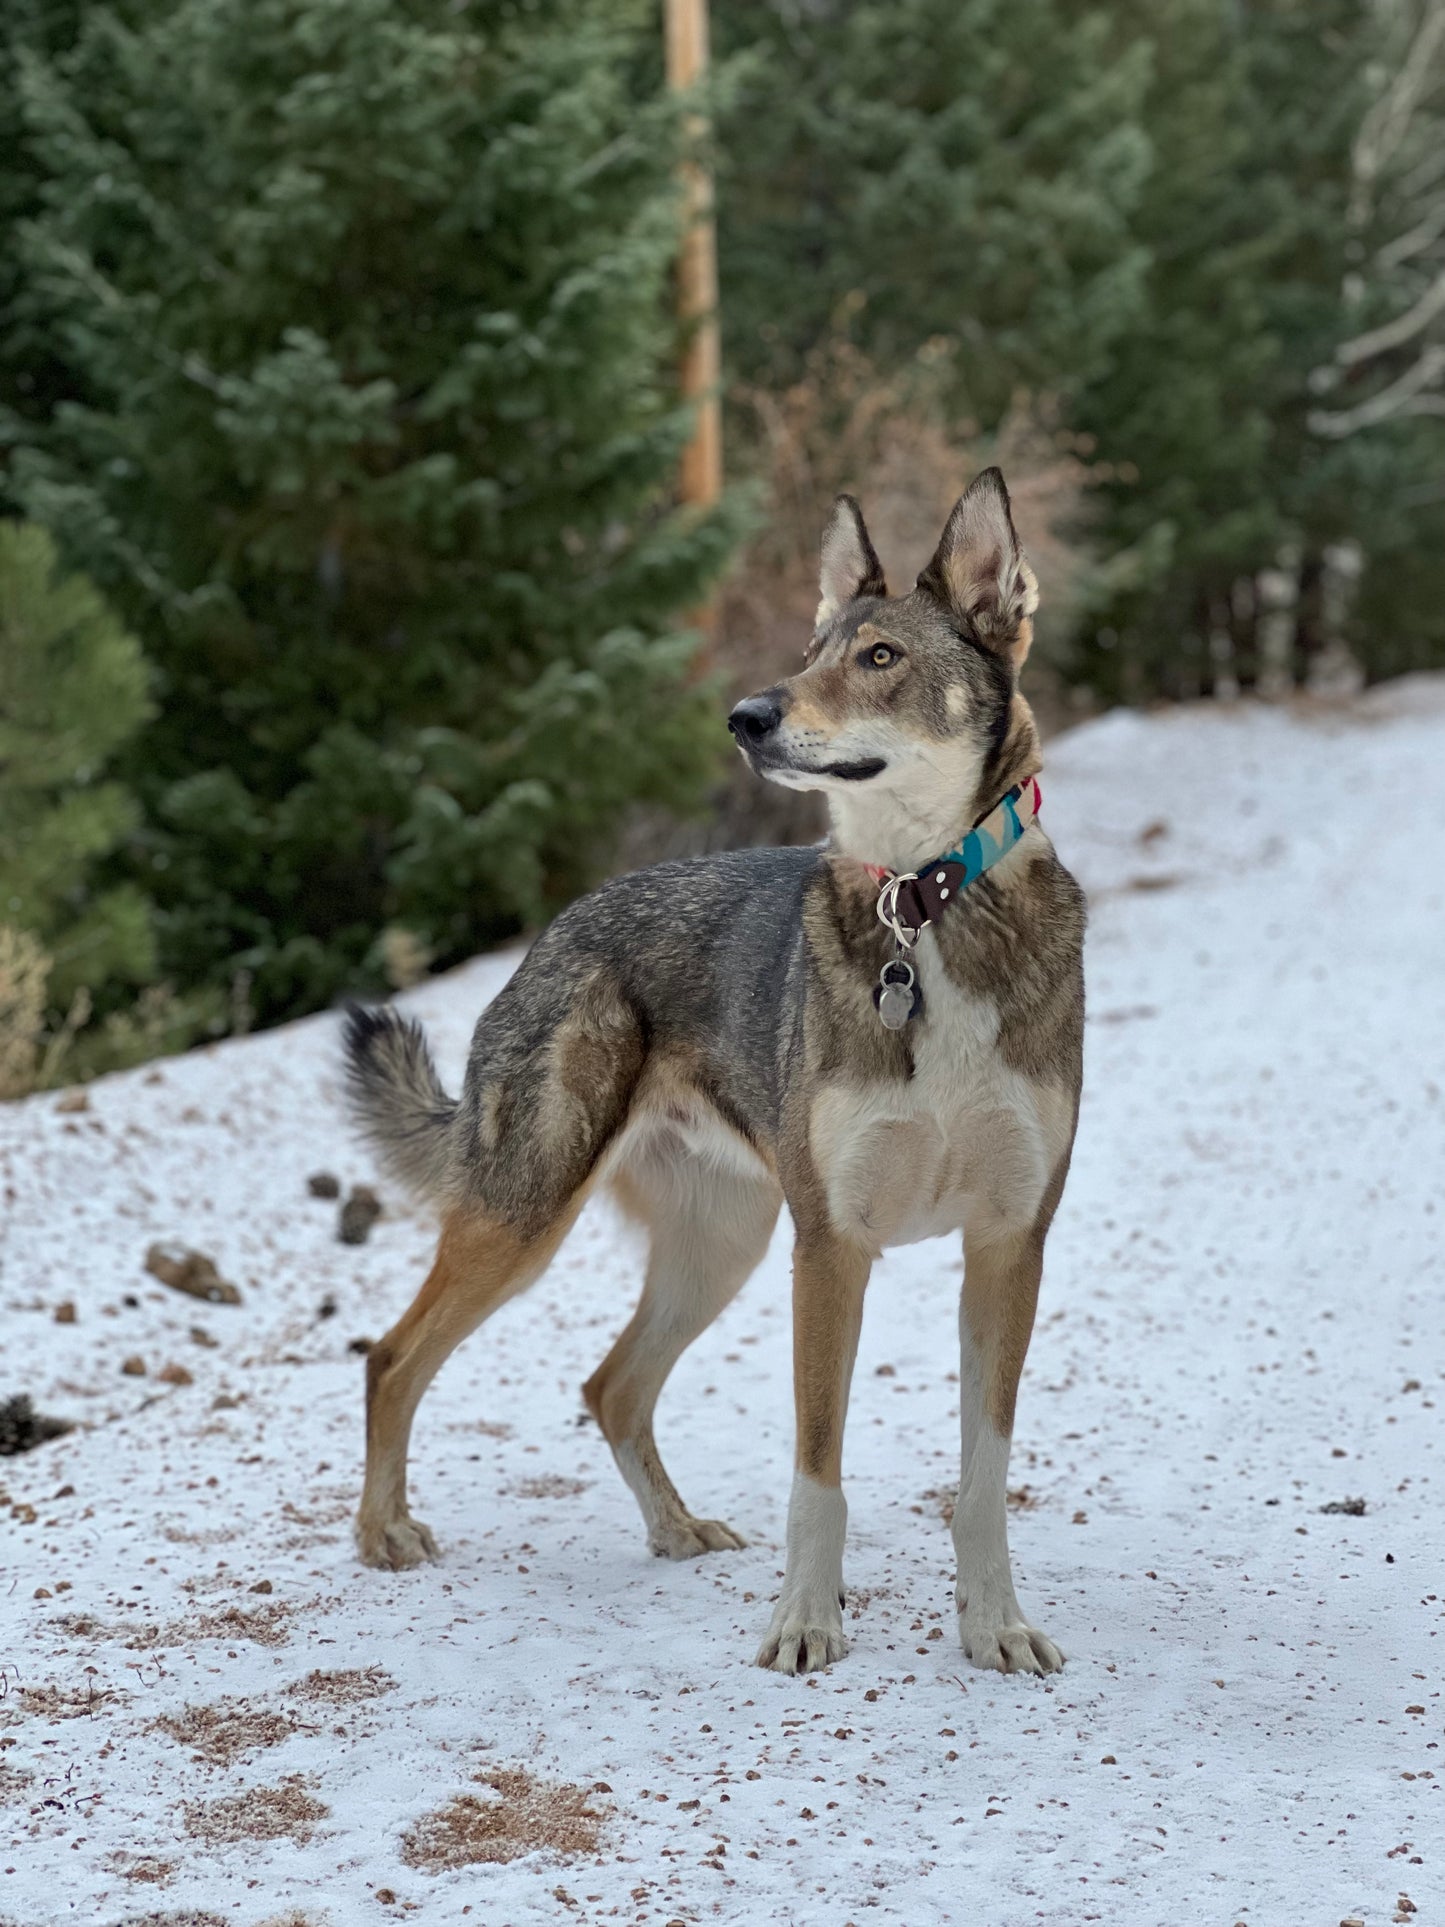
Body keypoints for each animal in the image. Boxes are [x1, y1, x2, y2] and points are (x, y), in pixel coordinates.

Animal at [344, 466, 1078, 1672]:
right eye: (810, 646)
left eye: (879, 655)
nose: (746, 716)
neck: (919, 904)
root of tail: (552, 933)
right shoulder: (831, 1250)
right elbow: (818, 1474)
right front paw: (804, 1625)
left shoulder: (1007, 1244)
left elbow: (981, 1479)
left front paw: (995, 1627)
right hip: (529, 1216)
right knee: (392, 1358)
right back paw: (382, 1533)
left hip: (719, 1247)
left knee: (610, 1385)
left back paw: (673, 1527)